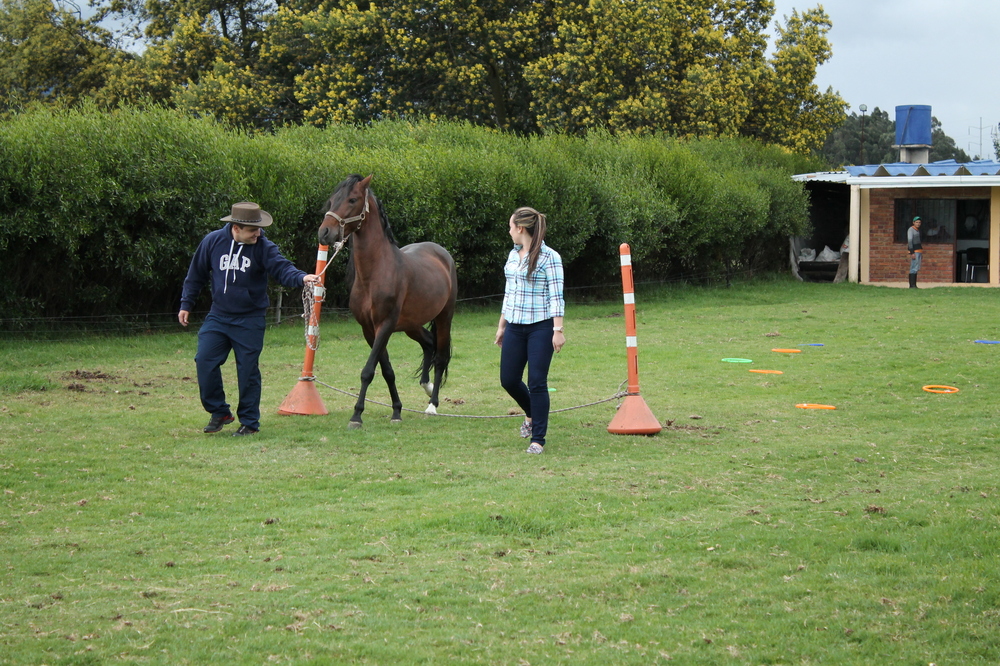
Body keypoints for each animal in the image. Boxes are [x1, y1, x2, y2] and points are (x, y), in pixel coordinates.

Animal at [318, 174, 457, 429]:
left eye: (352, 199)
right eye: (332, 200)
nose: (324, 232)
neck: (376, 272)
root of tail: (441, 253)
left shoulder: (385, 325)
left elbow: (368, 370)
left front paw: (356, 416)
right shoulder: (369, 329)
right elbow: (386, 371)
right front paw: (396, 411)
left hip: (445, 317)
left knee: (441, 356)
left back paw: (432, 405)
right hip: (411, 324)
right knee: (428, 344)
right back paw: (426, 385)